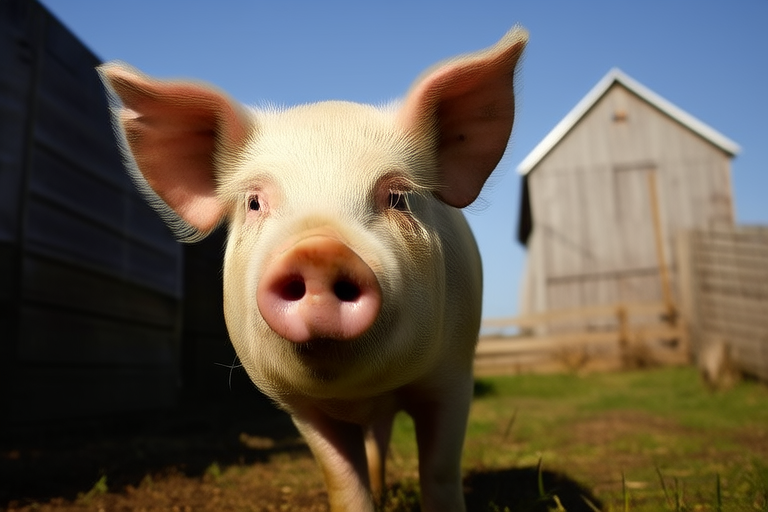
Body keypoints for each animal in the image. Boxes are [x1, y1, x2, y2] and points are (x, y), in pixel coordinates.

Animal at [98, 26, 527, 512]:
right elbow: (342, 482)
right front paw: (361, 496)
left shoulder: (454, 375)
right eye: (254, 202)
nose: (318, 251)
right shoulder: (301, 408)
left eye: (398, 197)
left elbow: (439, 471)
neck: (359, 391)